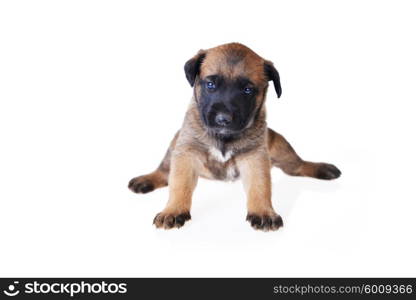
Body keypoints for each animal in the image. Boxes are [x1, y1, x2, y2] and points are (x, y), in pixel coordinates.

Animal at [129, 42, 342, 231]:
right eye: (210, 84)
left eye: (248, 90)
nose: (223, 119)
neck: (224, 137)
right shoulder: (186, 152)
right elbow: (178, 184)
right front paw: (173, 210)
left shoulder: (255, 156)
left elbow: (260, 186)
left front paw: (263, 212)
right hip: (174, 145)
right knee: (165, 171)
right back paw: (146, 180)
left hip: (281, 147)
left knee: (297, 166)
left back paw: (321, 168)